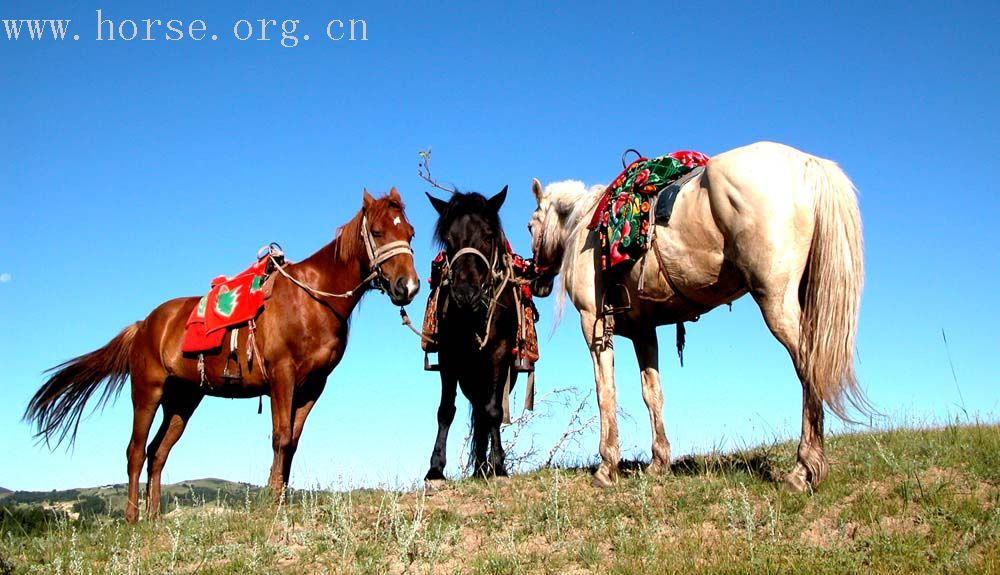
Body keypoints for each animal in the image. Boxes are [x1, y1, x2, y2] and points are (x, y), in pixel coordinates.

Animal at [25, 188, 420, 520]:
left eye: (411, 233)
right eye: (379, 232)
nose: (409, 286)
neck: (313, 298)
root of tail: (145, 324)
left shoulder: (312, 387)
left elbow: (292, 442)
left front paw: (281, 500)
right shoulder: (282, 377)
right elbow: (280, 437)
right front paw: (272, 502)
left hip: (182, 400)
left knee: (157, 452)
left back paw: (153, 518)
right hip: (147, 392)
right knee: (136, 451)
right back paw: (133, 518)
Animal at [422, 187, 520, 480]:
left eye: (488, 235)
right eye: (447, 239)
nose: (466, 294)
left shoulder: (499, 354)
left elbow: (494, 411)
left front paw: (499, 467)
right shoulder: (449, 357)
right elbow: (446, 411)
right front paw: (435, 469)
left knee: (485, 412)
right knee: (477, 412)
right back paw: (478, 468)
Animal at [528, 143, 864, 490]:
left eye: (530, 226)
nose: (536, 281)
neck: (587, 229)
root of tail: (809, 165)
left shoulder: (593, 323)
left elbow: (605, 391)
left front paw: (607, 467)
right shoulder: (642, 331)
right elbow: (652, 392)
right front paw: (658, 463)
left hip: (776, 302)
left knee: (809, 366)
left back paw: (802, 469)